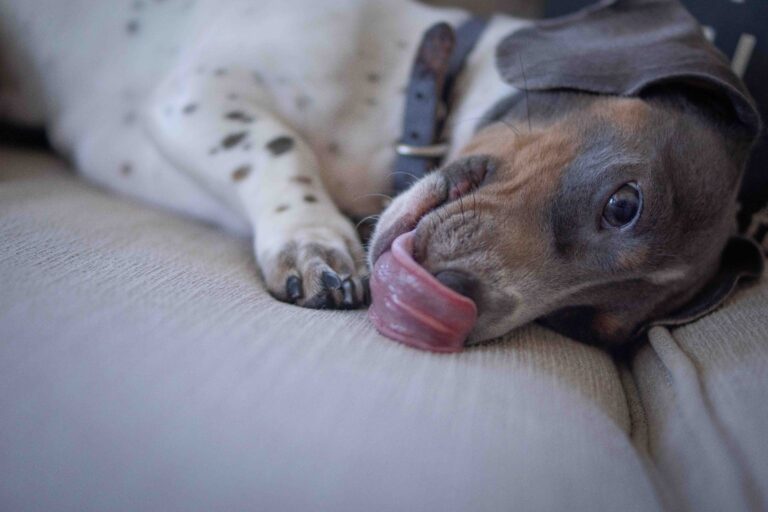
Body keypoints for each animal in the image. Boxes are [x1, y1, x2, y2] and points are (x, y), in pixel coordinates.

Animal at [0, 0, 756, 348]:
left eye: (577, 324)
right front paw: (312, 239)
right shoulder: (198, 93)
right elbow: (278, 144)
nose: (458, 312)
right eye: (625, 204)